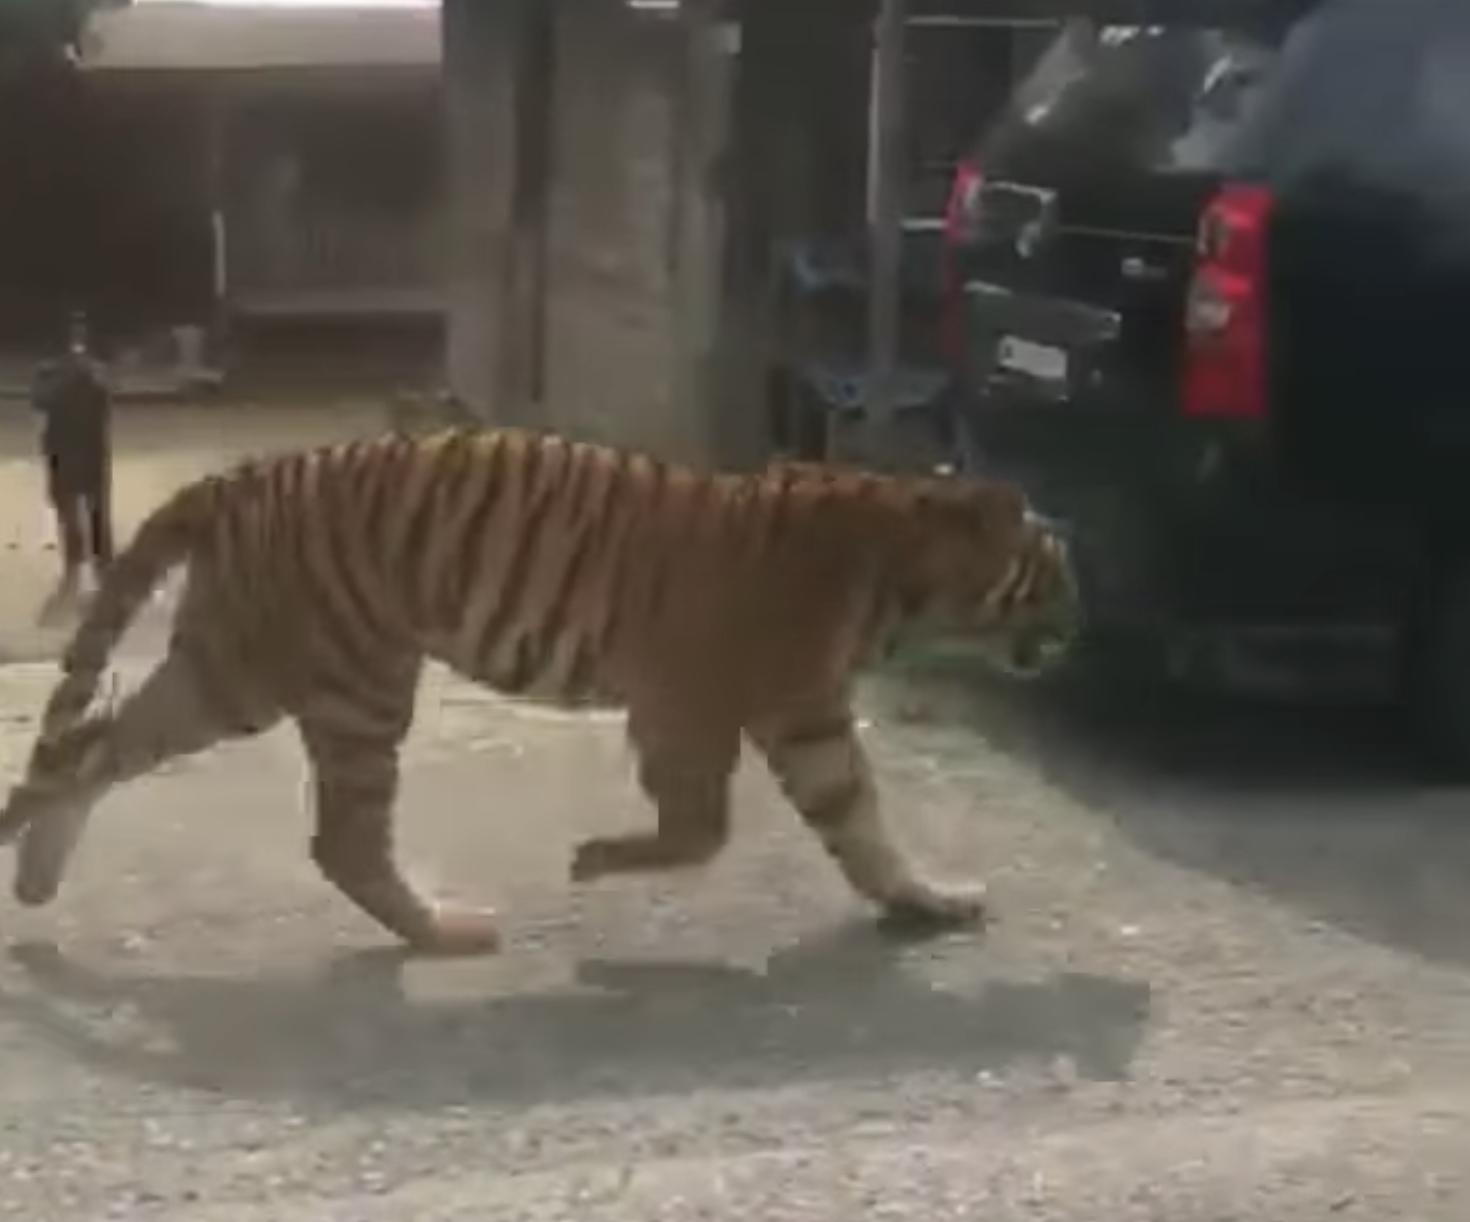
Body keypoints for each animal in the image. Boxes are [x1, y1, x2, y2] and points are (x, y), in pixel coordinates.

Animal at [0, 426, 1080, 955]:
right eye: (1054, 568)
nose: (1081, 623)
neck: (904, 561)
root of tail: (247, 473)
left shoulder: (780, 716)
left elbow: (857, 827)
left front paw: (928, 902)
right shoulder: (726, 702)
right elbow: (717, 826)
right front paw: (595, 862)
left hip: (234, 665)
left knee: (90, 741)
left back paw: (35, 878)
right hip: (322, 681)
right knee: (338, 838)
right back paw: (448, 932)